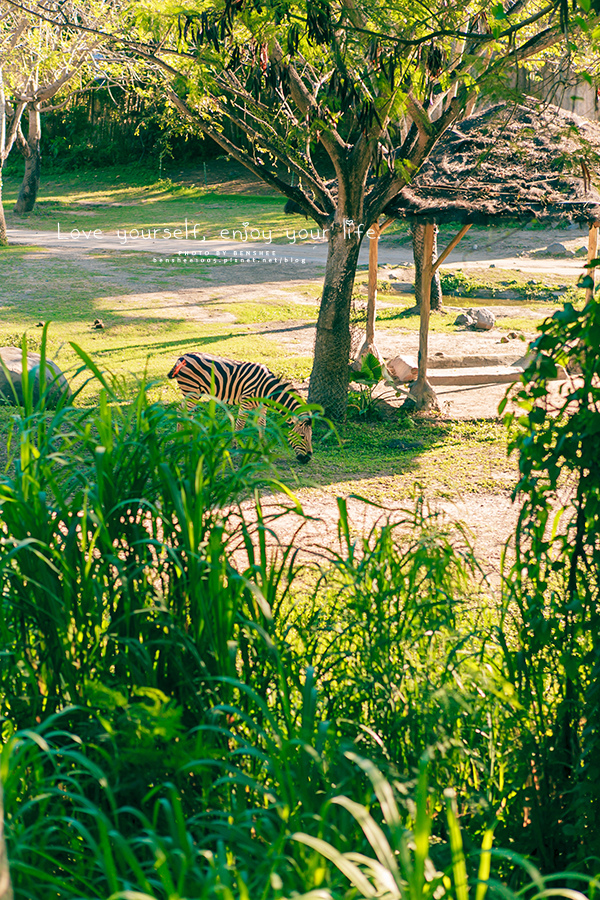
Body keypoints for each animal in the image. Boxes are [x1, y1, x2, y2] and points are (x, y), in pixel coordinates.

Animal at [167, 352, 313, 463]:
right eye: (302, 437)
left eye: (311, 436)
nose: (308, 459)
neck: (266, 390)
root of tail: (182, 356)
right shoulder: (246, 402)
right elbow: (240, 425)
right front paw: (235, 448)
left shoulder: (261, 407)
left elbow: (262, 426)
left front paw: (265, 449)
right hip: (191, 391)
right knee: (180, 411)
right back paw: (180, 440)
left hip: (193, 393)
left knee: (187, 412)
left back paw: (190, 437)